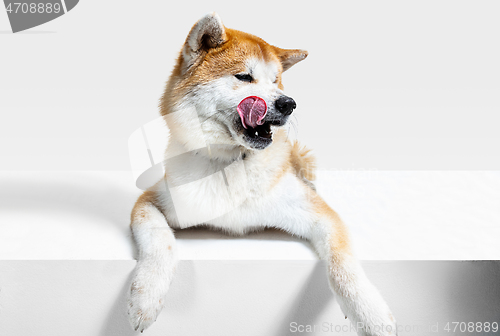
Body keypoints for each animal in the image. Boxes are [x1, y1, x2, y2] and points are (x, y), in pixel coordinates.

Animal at [129, 11, 398, 334]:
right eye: (244, 77)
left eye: (276, 80)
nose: (288, 103)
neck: (232, 163)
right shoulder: (152, 200)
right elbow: (161, 243)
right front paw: (146, 297)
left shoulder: (318, 213)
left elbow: (343, 266)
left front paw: (372, 315)